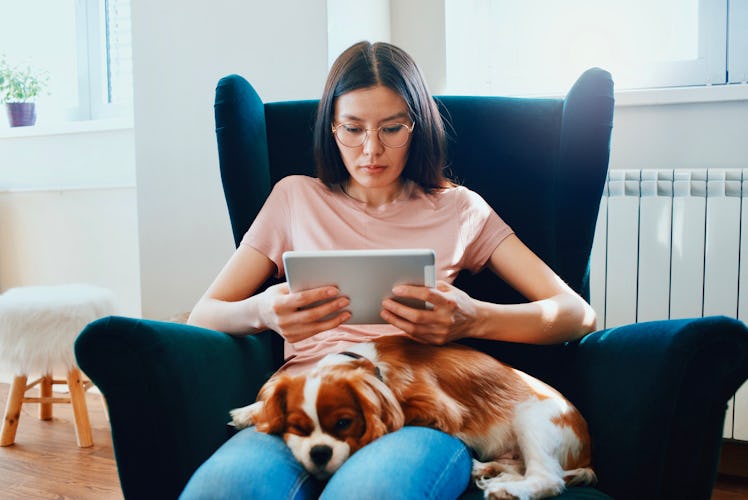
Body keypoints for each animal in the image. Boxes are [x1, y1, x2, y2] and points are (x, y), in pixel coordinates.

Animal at [229, 336, 596, 500]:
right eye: (298, 428)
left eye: (344, 424)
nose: (320, 454)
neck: (369, 364)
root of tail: (588, 453)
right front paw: (250, 411)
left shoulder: (440, 410)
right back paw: (484, 471)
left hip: (532, 419)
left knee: (549, 478)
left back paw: (507, 490)